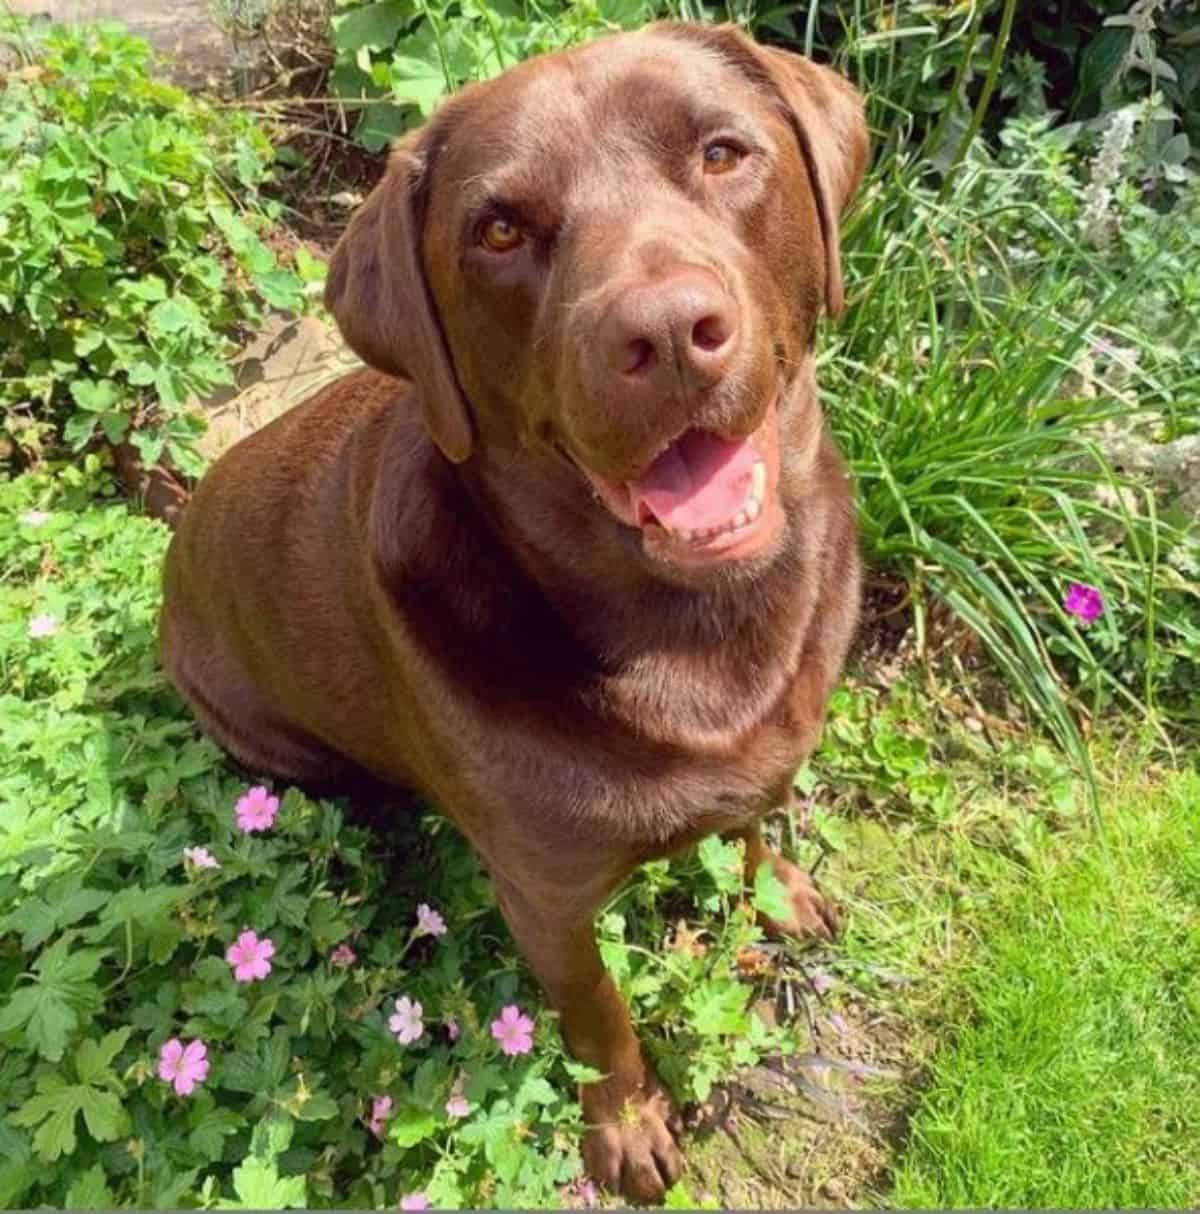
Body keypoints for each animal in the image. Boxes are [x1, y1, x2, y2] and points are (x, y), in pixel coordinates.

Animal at [163, 21, 864, 1204]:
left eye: (723, 153)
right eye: (499, 230)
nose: (667, 332)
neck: (697, 633)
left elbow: (755, 818)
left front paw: (778, 893)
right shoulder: (547, 898)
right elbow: (598, 1021)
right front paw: (626, 1130)